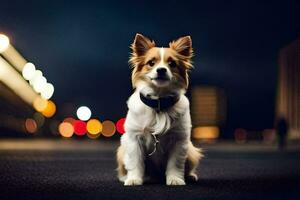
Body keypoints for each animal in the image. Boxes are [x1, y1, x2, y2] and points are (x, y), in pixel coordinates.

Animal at [116, 33, 203, 185]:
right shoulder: (134, 139)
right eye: (151, 63)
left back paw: (190, 176)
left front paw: (175, 179)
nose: (161, 69)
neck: (159, 102)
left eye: (172, 64)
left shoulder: (179, 140)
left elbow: (175, 163)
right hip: (122, 149)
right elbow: (135, 162)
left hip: (192, 151)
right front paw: (134, 179)